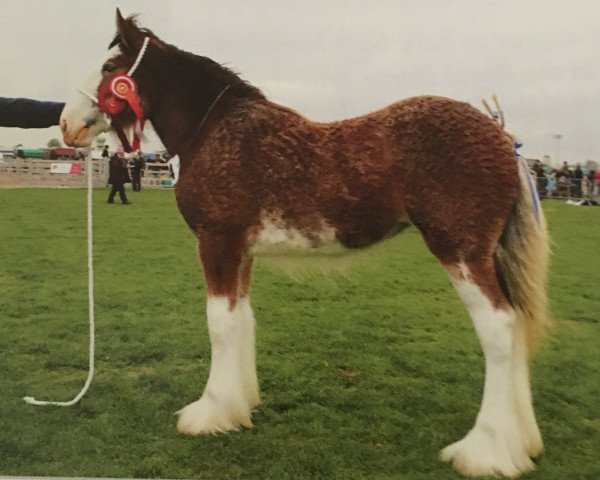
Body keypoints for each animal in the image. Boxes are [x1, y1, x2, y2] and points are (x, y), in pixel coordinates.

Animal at [59, 10, 548, 476]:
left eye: (109, 67)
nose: (66, 124)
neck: (214, 131)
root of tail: (504, 139)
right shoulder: (242, 253)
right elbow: (242, 320)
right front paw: (238, 406)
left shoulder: (217, 243)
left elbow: (219, 325)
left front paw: (208, 414)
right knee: (515, 326)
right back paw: (521, 443)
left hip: (460, 252)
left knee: (499, 330)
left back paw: (485, 451)